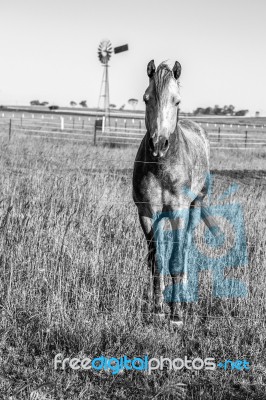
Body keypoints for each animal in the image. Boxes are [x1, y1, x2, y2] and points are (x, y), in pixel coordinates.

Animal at [132, 60, 215, 328]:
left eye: (176, 100)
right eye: (146, 98)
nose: (158, 145)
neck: (163, 165)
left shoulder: (179, 212)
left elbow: (176, 260)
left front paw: (176, 314)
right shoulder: (148, 214)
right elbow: (157, 261)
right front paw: (157, 309)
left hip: (195, 207)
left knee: (186, 246)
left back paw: (185, 293)